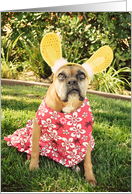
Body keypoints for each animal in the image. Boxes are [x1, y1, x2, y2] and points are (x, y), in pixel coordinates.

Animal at [29, 32, 113, 186]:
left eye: (82, 75)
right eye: (61, 75)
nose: (72, 81)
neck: (68, 104)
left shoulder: (86, 137)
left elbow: (87, 162)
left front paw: (90, 178)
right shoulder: (37, 126)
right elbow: (35, 150)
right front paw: (33, 168)